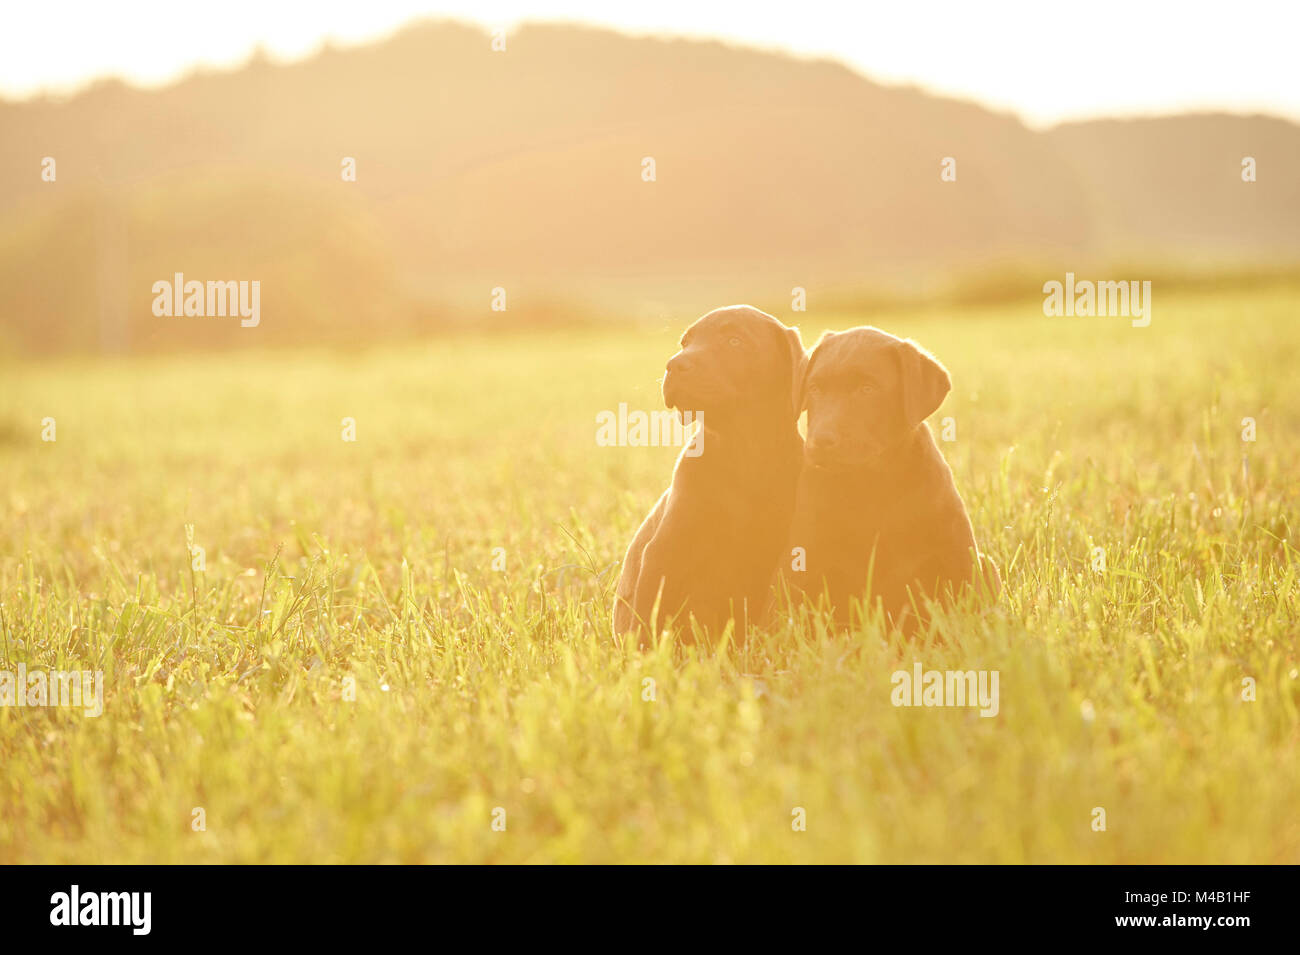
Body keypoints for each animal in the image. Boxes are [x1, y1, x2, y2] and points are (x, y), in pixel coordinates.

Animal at [608, 307, 800, 641]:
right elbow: (647, 614)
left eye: (734, 340)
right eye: (685, 343)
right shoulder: (661, 551)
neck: (743, 450)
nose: (674, 364)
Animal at [785, 324, 998, 631]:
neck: (873, 480)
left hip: (987, 564)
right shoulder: (804, 560)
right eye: (814, 388)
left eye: (867, 389)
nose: (820, 441)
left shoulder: (958, 553)